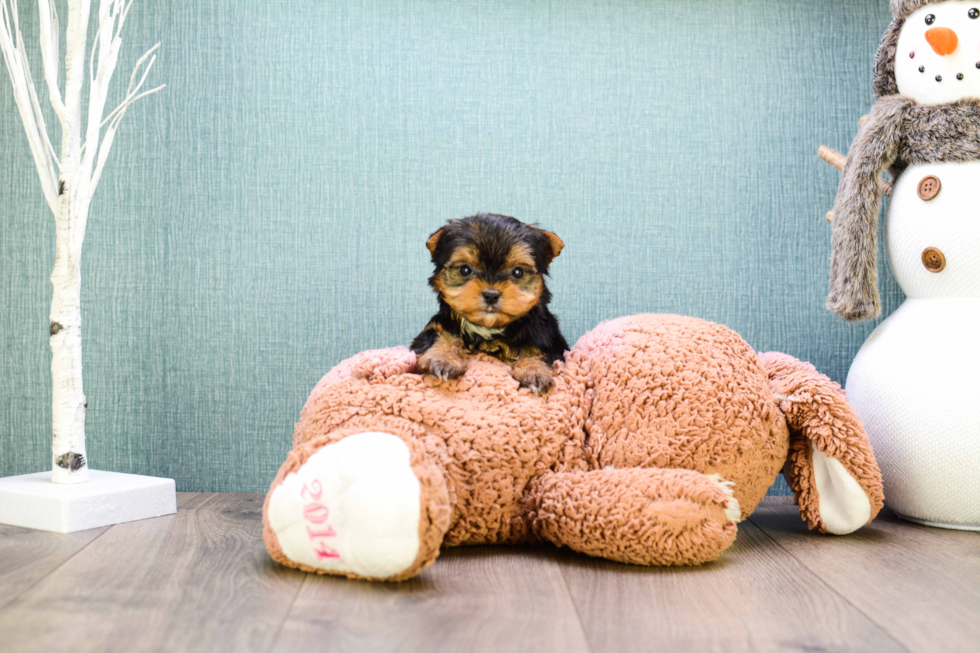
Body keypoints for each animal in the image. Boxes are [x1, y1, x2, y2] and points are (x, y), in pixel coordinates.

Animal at [412, 216, 568, 394]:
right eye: (465, 270)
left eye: (518, 272)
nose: (491, 295)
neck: (489, 328)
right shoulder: (439, 324)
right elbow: (438, 334)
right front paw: (442, 358)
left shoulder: (547, 338)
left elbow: (537, 350)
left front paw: (534, 371)